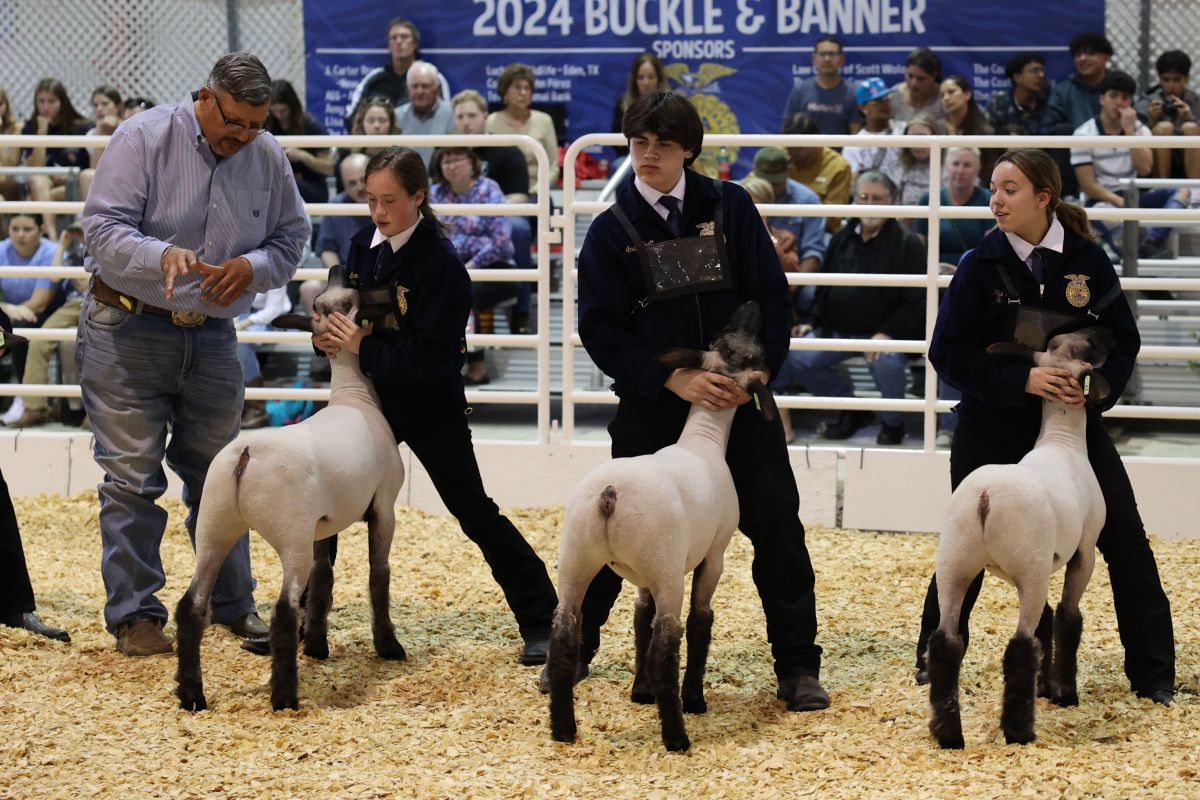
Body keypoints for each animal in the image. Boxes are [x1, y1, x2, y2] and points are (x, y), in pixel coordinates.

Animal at [175, 280, 408, 714]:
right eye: (353, 299)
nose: (390, 293)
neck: (354, 396)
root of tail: (245, 455)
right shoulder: (384, 505)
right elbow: (378, 574)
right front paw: (388, 646)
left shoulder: (323, 525)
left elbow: (324, 578)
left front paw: (316, 644)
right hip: (290, 533)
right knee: (284, 610)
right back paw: (284, 697)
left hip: (214, 523)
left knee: (192, 605)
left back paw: (191, 694)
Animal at [549, 299, 777, 753]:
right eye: (753, 355)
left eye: (721, 335)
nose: (751, 304)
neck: (703, 440)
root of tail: (610, 494)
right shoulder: (715, 554)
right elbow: (701, 621)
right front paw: (694, 699)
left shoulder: (641, 575)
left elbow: (640, 618)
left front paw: (639, 693)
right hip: (667, 568)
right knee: (667, 647)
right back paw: (676, 734)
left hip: (578, 557)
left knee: (565, 639)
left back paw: (563, 729)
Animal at [926, 326, 1113, 753]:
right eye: (1089, 347)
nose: (1105, 330)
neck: (1062, 441)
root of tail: (986, 496)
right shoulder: (1083, 553)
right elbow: (1066, 618)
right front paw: (1063, 691)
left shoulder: (1037, 567)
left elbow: (1047, 620)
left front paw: (1046, 687)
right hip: (1029, 563)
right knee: (1020, 645)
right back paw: (1019, 731)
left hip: (956, 562)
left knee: (945, 642)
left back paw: (949, 734)